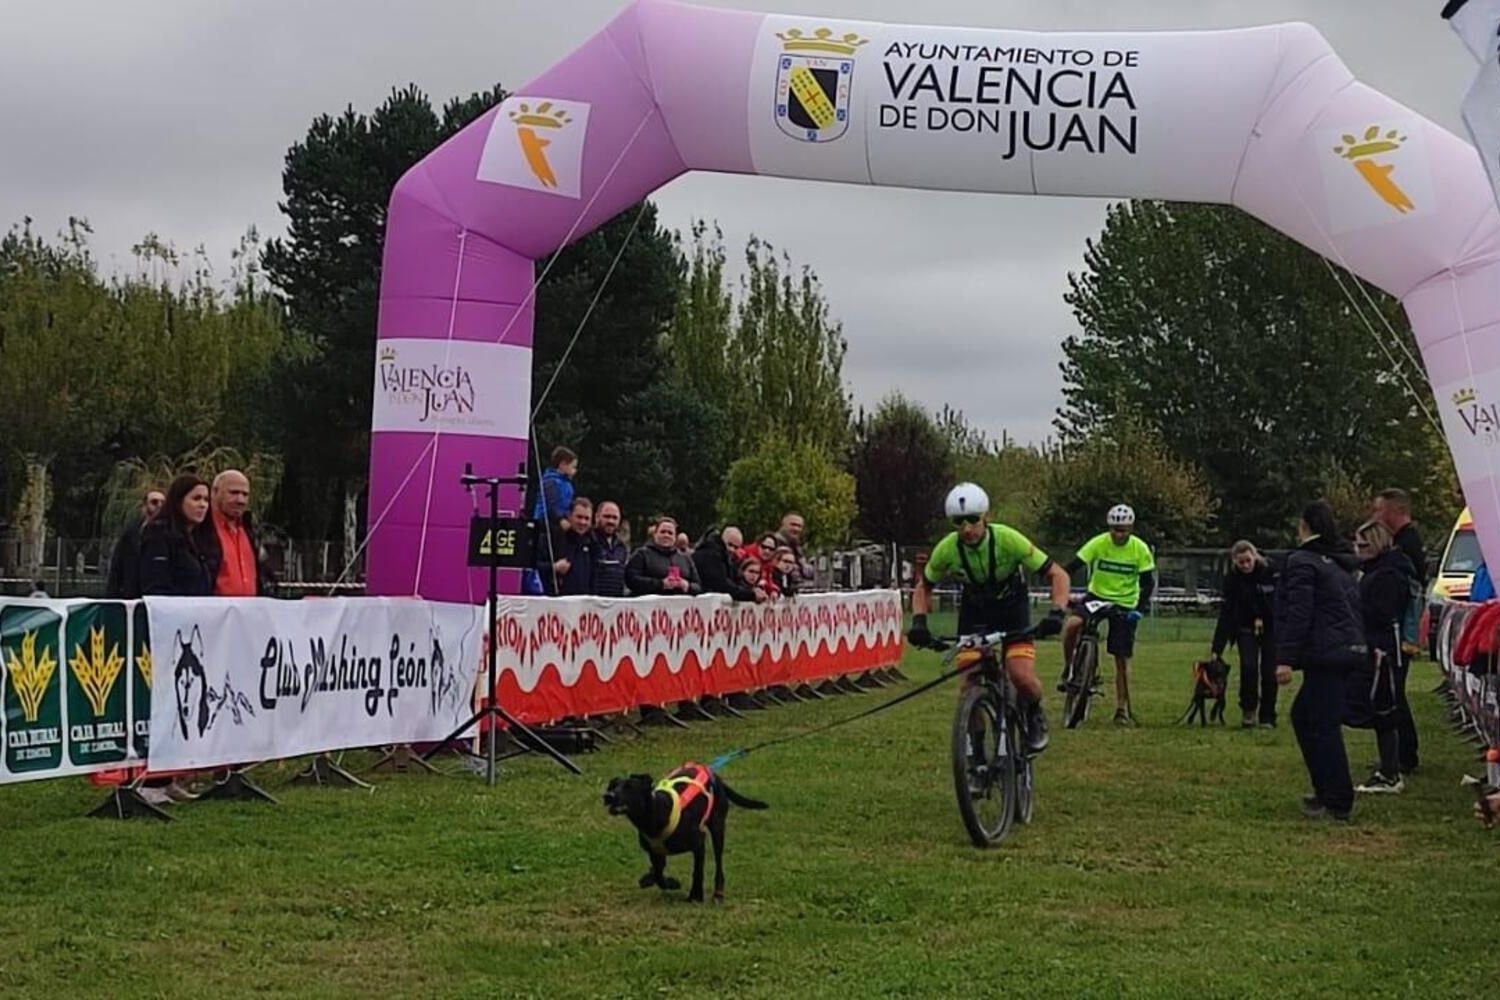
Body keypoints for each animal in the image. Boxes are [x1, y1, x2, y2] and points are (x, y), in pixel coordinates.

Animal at [603, 761, 768, 905]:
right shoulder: (654, 852)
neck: (657, 811)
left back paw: (718, 893)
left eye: (629, 787)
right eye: (613, 786)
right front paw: (670, 883)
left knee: (719, 863)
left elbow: (697, 871)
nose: (608, 796)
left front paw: (696, 896)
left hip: (718, 828)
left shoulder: (699, 842)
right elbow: (659, 875)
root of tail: (715, 776)